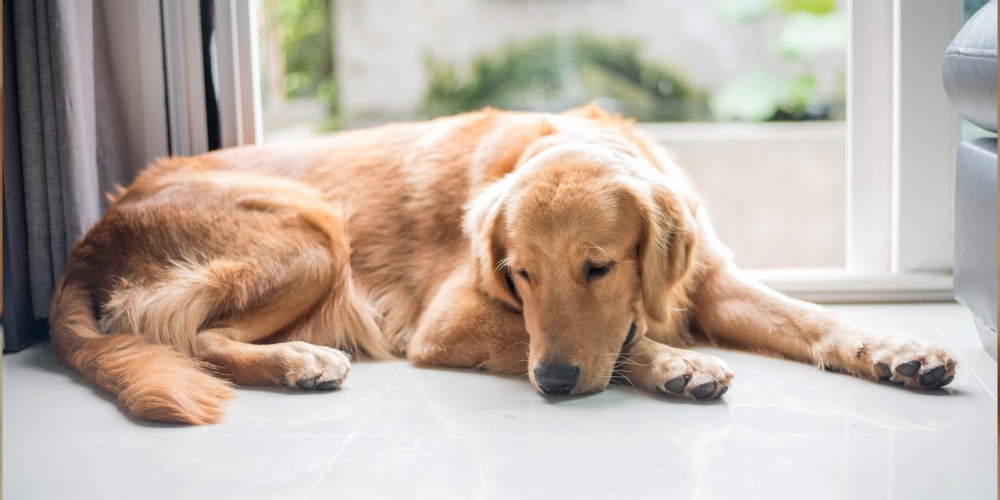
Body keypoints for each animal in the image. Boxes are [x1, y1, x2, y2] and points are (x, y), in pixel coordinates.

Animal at [48, 103, 960, 424]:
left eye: (598, 268)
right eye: (518, 274)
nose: (551, 385)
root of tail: (90, 235)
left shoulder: (709, 277)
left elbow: (813, 318)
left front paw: (897, 349)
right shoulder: (447, 321)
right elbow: (617, 344)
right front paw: (675, 364)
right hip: (313, 235)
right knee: (189, 336)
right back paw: (301, 360)